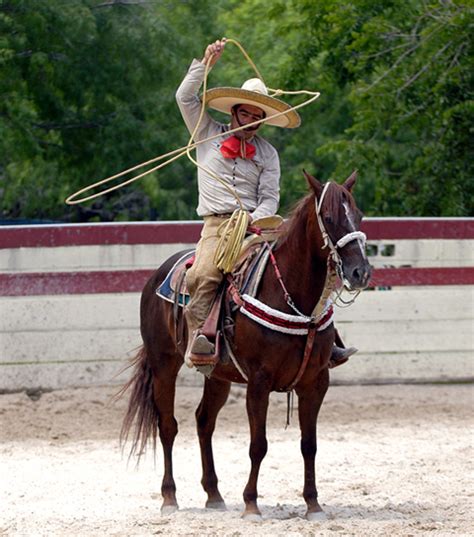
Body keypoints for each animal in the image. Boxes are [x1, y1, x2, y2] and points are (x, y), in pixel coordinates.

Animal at [120, 169, 372, 520]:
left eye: (358, 215)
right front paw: (251, 504)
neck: (293, 297)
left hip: (217, 375)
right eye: (330, 217)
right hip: (163, 365)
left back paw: (214, 494)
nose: (360, 272)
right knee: (167, 425)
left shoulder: (316, 381)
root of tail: (157, 276)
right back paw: (169, 498)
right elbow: (258, 445)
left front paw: (313, 504)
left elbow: (309, 444)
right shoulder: (259, 381)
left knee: (204, 421)